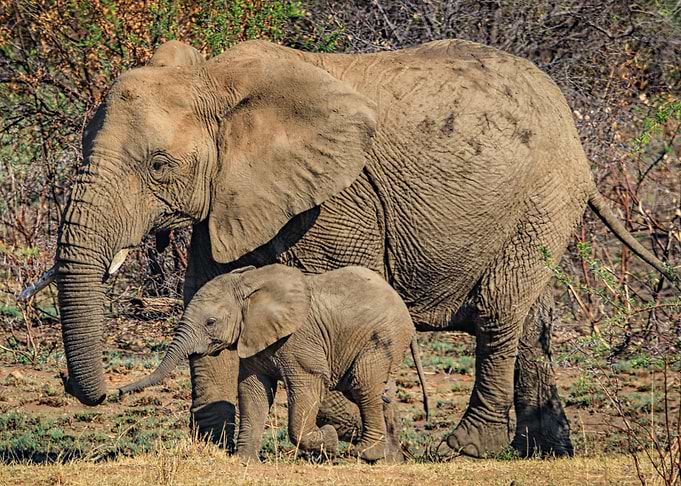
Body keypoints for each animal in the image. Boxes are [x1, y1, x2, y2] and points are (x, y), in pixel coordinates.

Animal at [119, 264, 430, 462]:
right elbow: (253, 391)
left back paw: (365, 453)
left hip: (382, 337)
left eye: (210, 322)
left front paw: (328, 441)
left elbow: (306, 387)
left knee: (364, 386)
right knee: (382, 393)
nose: (118, 391)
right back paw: (388, 461)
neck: (250, 285)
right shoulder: (252, 337)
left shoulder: (300, 340)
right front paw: (245, 462)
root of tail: (405, 312)